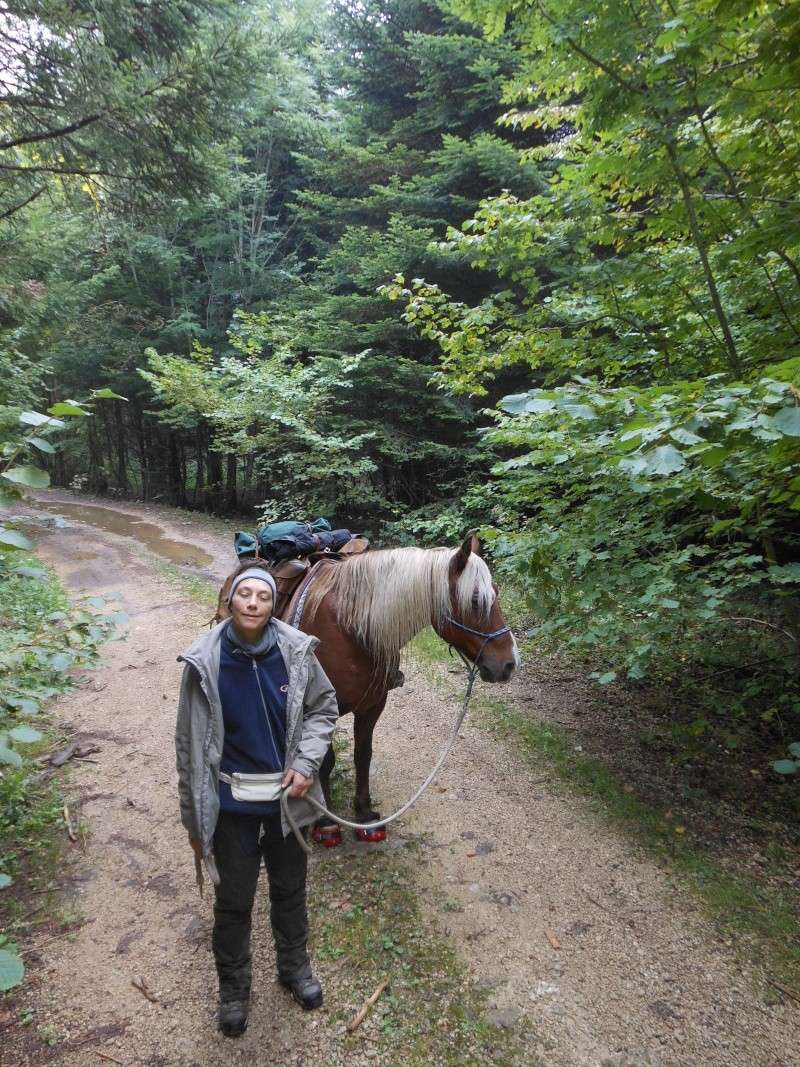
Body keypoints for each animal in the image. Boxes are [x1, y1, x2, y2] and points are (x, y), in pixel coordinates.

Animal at [219, 531, 520, 823]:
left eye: (496, 593)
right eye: (475, 600)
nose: (509, 663)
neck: (348, 628)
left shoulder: (373, 704)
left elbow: (363, 755)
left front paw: (363, 811)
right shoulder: (323, 707)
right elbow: (325, 760)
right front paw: (326, 820)